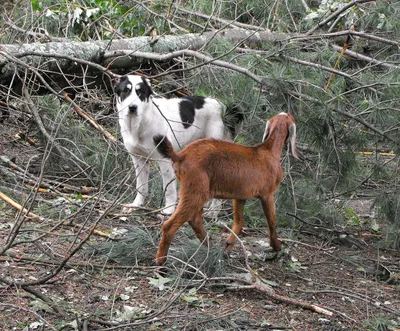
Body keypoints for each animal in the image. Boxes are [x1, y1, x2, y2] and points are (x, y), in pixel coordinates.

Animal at [115, 75, 241, 215]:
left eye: (141, 92)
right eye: (125, 91)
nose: (132, 107)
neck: (141, 123)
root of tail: (222, 106)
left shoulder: (164, 160)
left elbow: (169, 189)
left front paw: (169, 210)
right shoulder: (139, 159)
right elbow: (141, 186)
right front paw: (136, 205)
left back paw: (213, 212)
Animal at [152, 113, 298, 266]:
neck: (269, 151)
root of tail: (181, 156)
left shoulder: (241, 196)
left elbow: (239, 222)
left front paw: (228, 247)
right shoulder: (267, 194)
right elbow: (272, 222)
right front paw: (276, 246)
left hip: (196, 190)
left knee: (195, 220)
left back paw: (210, 248)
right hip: (196, 191)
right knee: (170, 225)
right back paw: (161, 262)